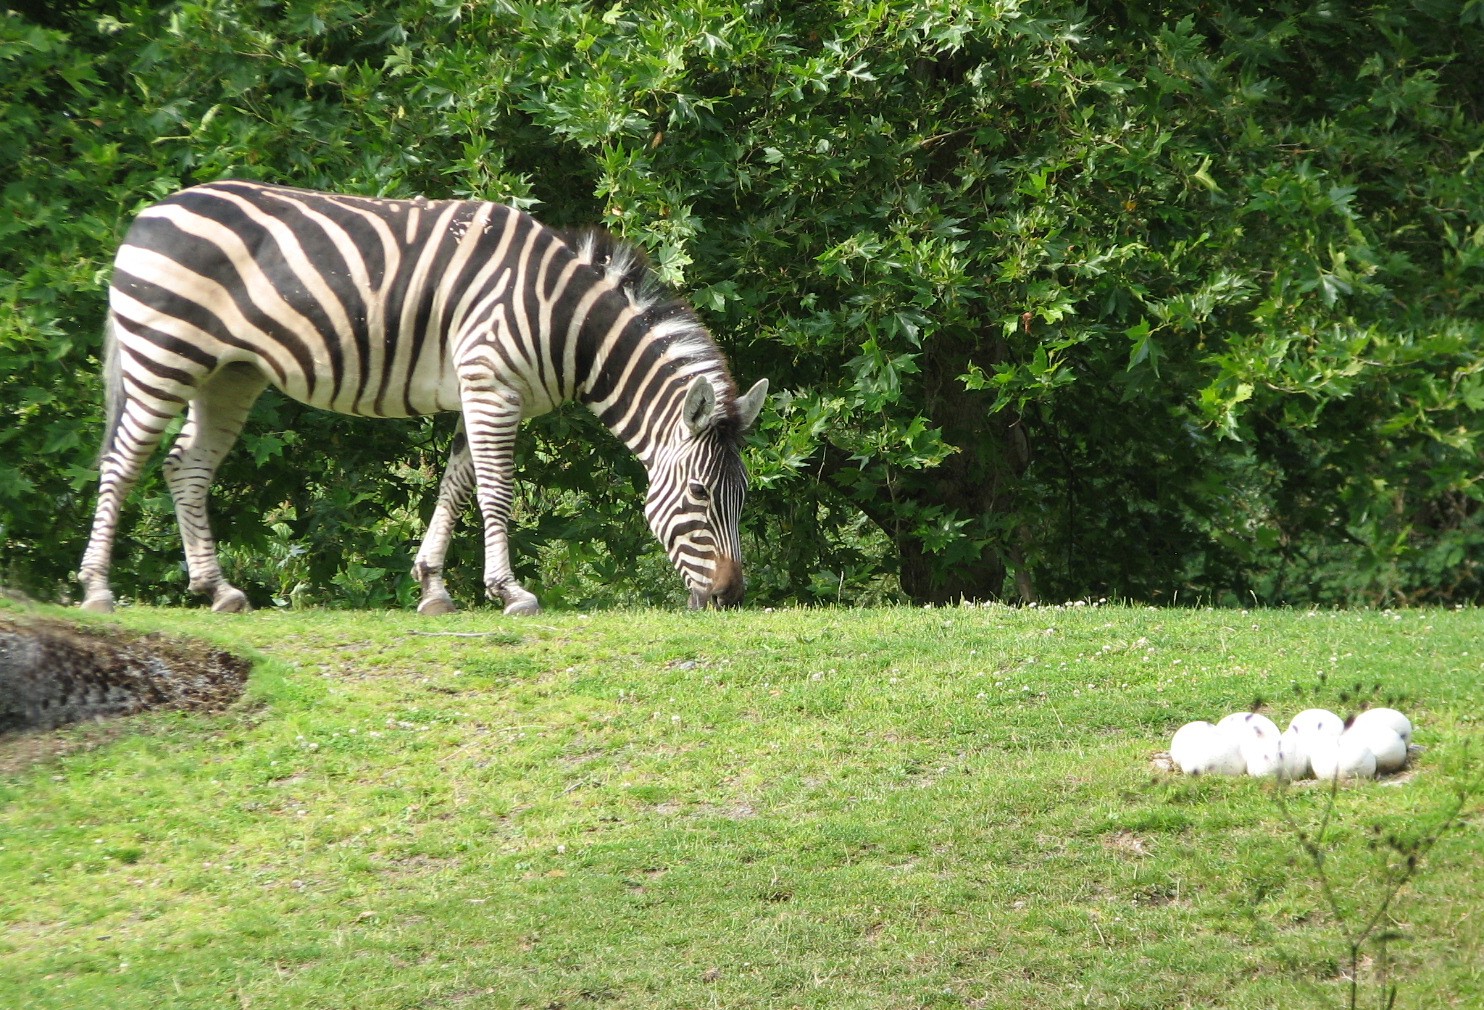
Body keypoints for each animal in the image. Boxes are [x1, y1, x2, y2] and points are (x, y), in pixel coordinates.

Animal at [76, 180, 768, 615]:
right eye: (701, 495)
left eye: (743, 496)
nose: (732, 598)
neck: (565, 321)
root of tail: (151, 210)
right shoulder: (491, 384)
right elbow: (496, 491)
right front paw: (510, 593)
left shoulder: (478, 391)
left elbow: (455, 487)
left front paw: (434, 588)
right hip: (164, 349)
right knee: (122, 461)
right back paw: (97, 589)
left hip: (230, 373)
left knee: (184, 465)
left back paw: (217, 591)